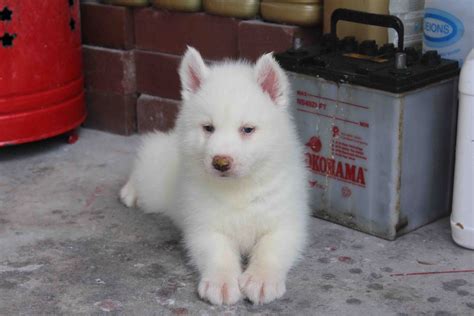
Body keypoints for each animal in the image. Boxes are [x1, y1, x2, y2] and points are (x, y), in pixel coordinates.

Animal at [120, 47, 310, 306]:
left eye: (247, 129)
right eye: (208, 128)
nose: (220, 162)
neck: (238, 188)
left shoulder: (285, 222)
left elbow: (270, 249)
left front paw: (261, 279)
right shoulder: (203, 225)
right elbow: (217, 252)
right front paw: (221, 282)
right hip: (156, 181)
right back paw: (129, 191)